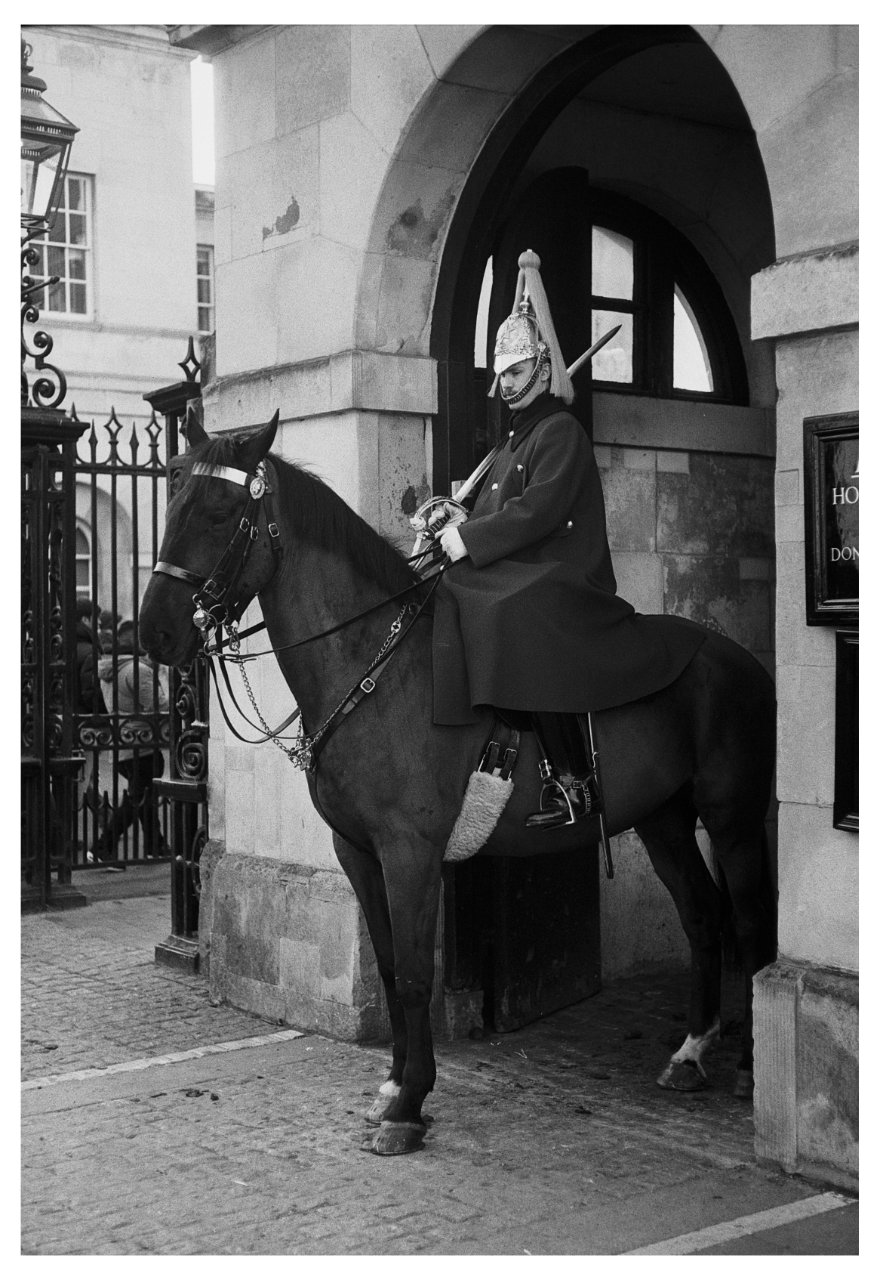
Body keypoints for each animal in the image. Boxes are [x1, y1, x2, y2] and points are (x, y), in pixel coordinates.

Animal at [140, 412, 782, 1162]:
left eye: (218, 512)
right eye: (171, 502)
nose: (154, 632)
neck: (376, 663)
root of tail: (740, 658)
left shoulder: (410, 851)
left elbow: (418, 973)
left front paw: (410, 1104)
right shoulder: (357, 852)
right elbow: (391, 967)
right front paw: (393, 1083)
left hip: (733, 817)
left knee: (750, 924)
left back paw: (750, 1070)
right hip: (663, 819)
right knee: (702, 915)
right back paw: (691, 1052)